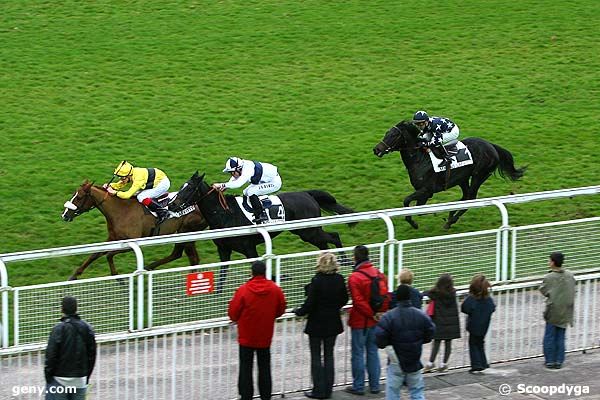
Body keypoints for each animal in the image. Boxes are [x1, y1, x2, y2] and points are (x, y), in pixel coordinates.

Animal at [60, 180, 207, 280]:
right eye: (73, 194)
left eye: (79, 197)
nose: (65, 215)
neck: (120, 211)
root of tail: (199, 203)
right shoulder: (112, 238)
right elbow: (95, 254)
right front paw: (74, 275)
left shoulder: (132, 242)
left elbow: (109, 255)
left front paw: (118, 278)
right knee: (190, 258)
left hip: (185, 231)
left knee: (181, 255)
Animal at [169, 172, 356, 262]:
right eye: (182, 186)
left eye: (188, 188)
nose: (171, 205)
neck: (225, 214)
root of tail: (307, 194)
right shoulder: (224, 249)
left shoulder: (249, 248)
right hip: (308, 232)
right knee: (325, 243)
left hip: (308, 231)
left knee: (334, 236)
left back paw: (345, 261)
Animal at [372, 119, 528, 228]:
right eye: (386, 133)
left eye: (393, 135)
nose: (376, 149)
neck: (420, 159)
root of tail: (491, 146)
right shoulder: (424, 193)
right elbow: (418, 208)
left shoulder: (426, 190)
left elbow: (407, 201)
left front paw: (414, 223)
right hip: (463, 178)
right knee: (466, 196)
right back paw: (451, 213)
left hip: (479, 175)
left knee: (471, 197)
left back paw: (451, 220)